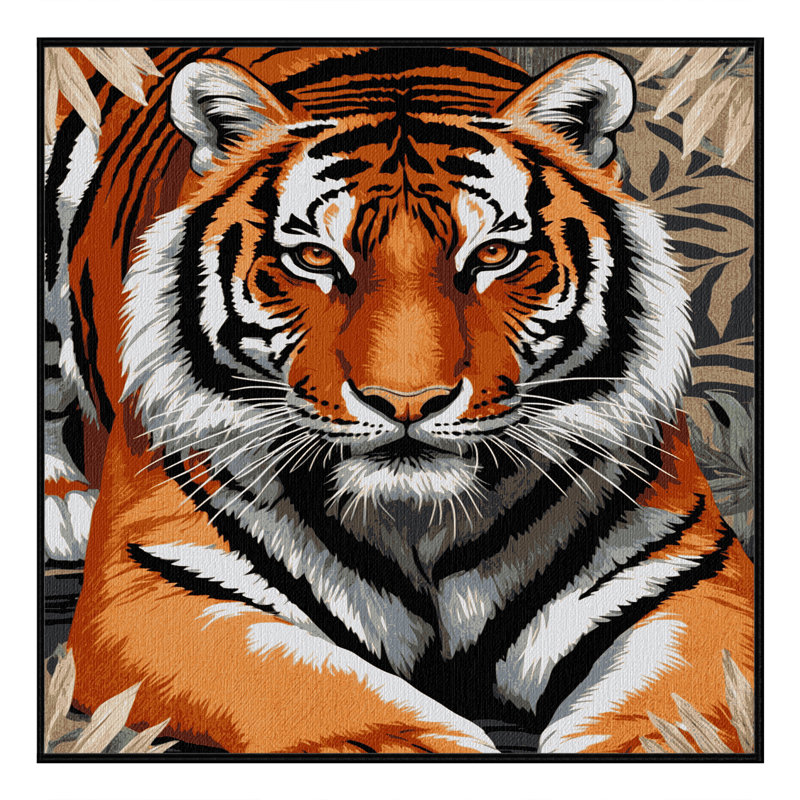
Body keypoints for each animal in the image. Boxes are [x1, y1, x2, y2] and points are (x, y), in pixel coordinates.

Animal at [43, 46, 754, 754]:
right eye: (315, 257)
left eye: (494, 253)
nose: (407, 402)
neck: (418, 522)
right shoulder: (154, 583)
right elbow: (348, 704)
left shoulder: (686, 578)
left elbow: (656, 725)